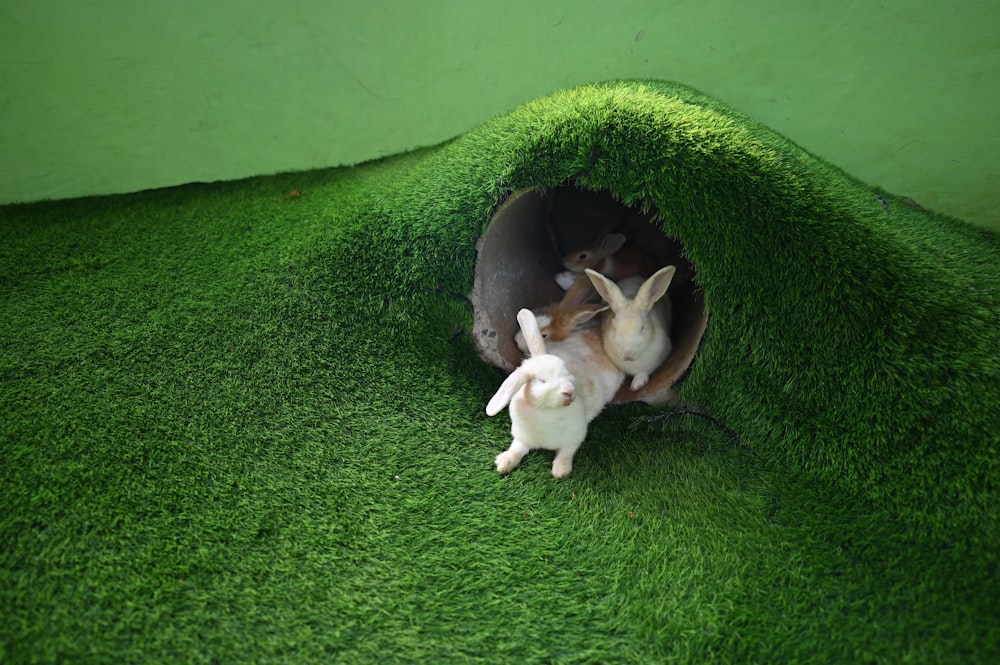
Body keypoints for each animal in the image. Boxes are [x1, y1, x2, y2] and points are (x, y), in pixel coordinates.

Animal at [488, 308, 588, 474]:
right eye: (542, 381)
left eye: (566, 370)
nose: (569, 392)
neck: (546, 410)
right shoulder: (522, 438)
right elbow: (517, 449)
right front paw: (503, 463)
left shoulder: (574, 437)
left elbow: (566, 452)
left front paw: (560, 471)